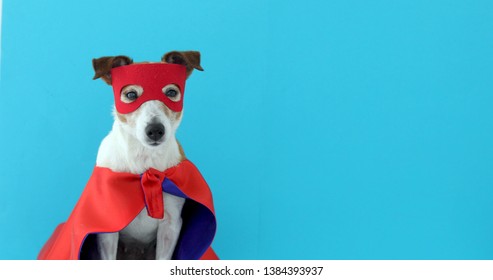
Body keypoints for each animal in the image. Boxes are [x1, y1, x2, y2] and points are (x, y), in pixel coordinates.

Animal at [91, 50, 203, 260]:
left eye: (171, 93)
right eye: (131, 95)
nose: (155, 130)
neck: (144, 160)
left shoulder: (170, 226)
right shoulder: (108, 230)